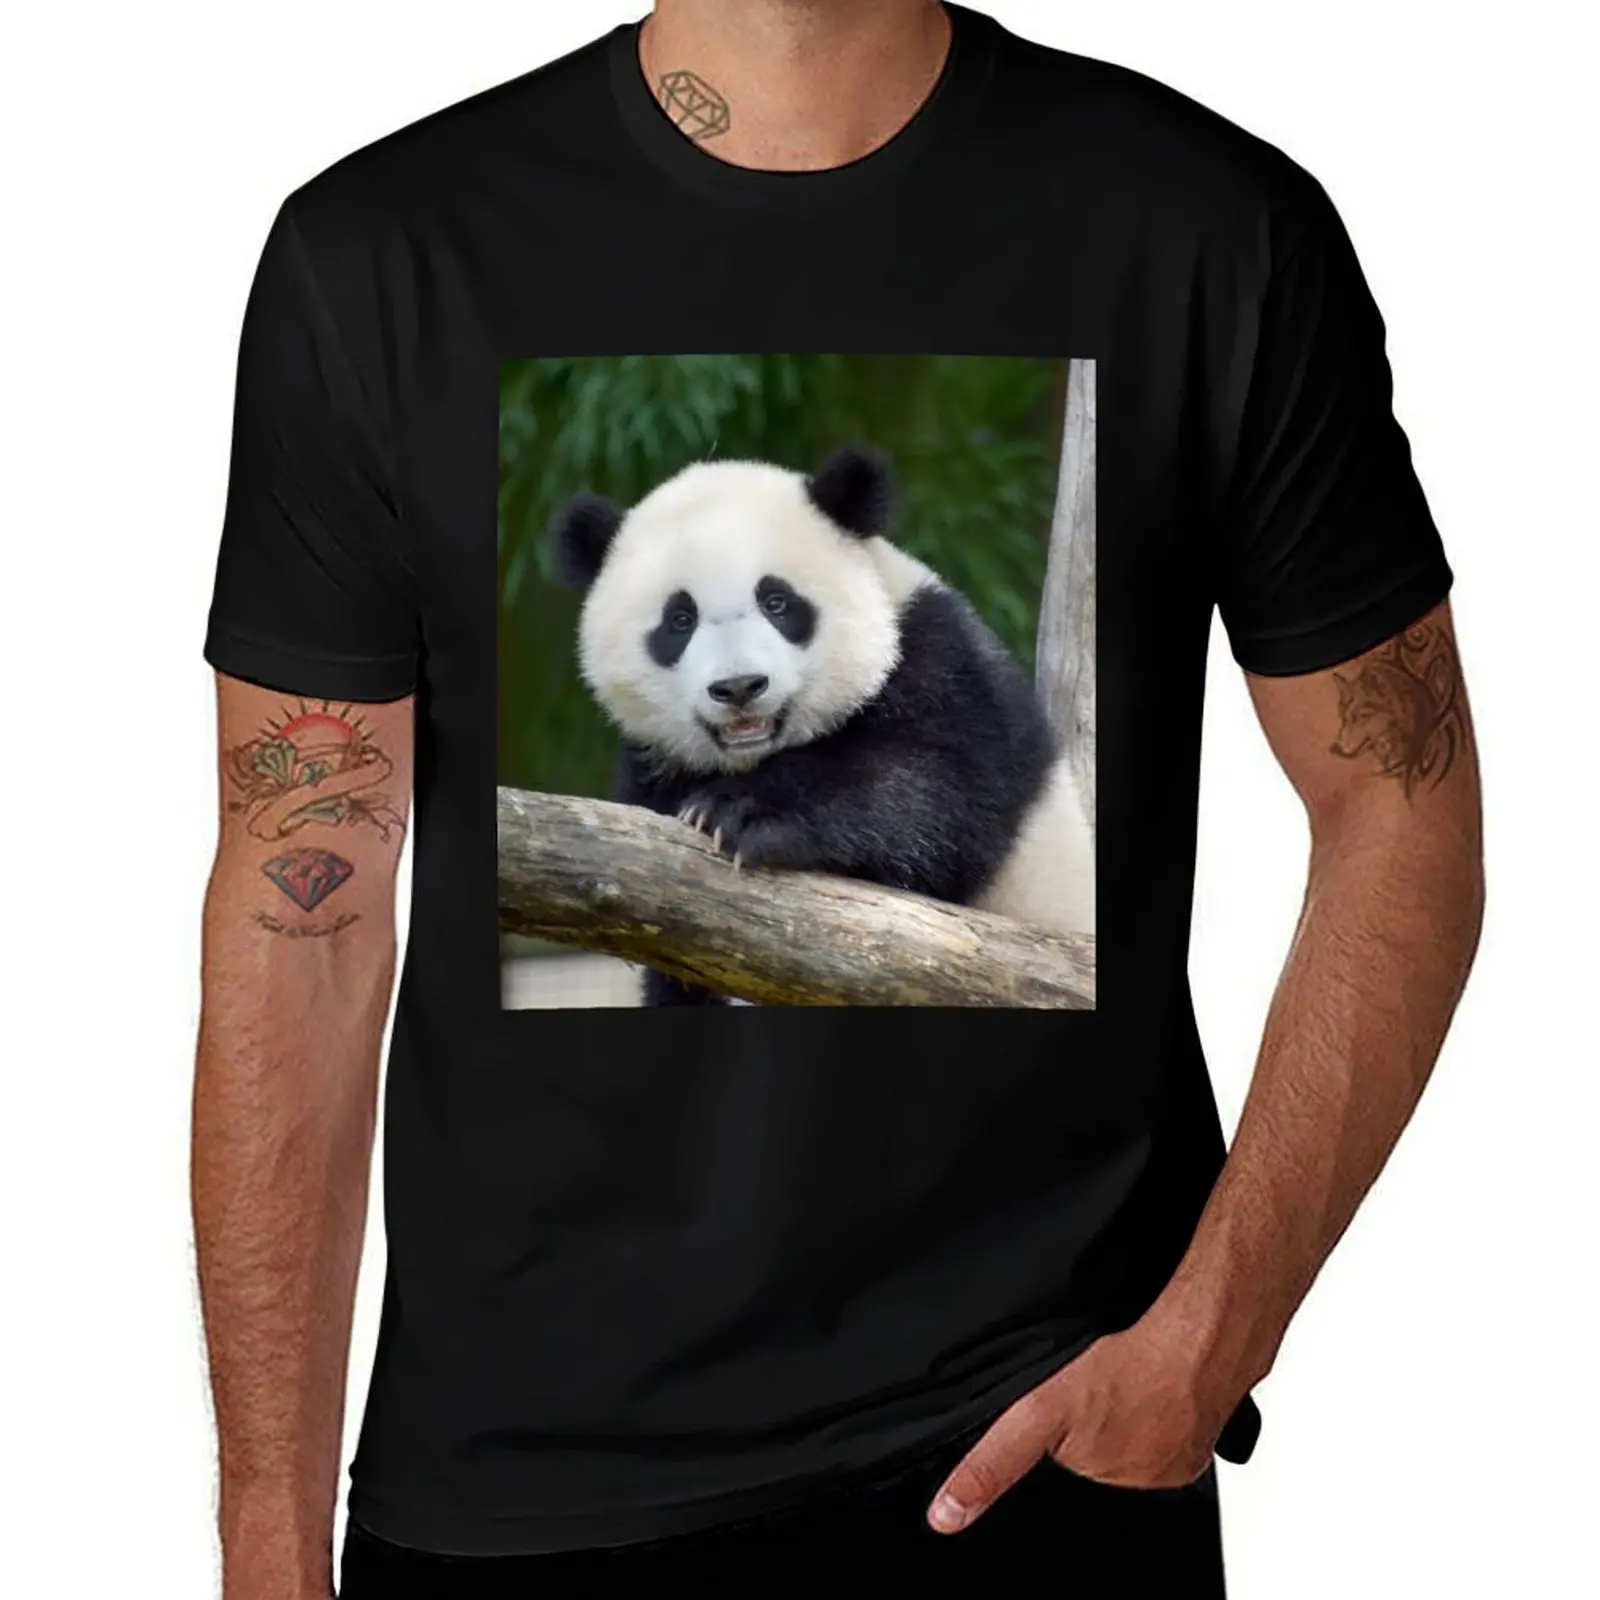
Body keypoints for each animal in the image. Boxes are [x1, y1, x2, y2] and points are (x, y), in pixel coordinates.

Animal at [549, 445, 1095, 1006]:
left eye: (777, 602)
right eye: (680, 620)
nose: (740, 686)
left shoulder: (948, 671)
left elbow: (931, 790)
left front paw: (742, 813)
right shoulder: (654, 770)